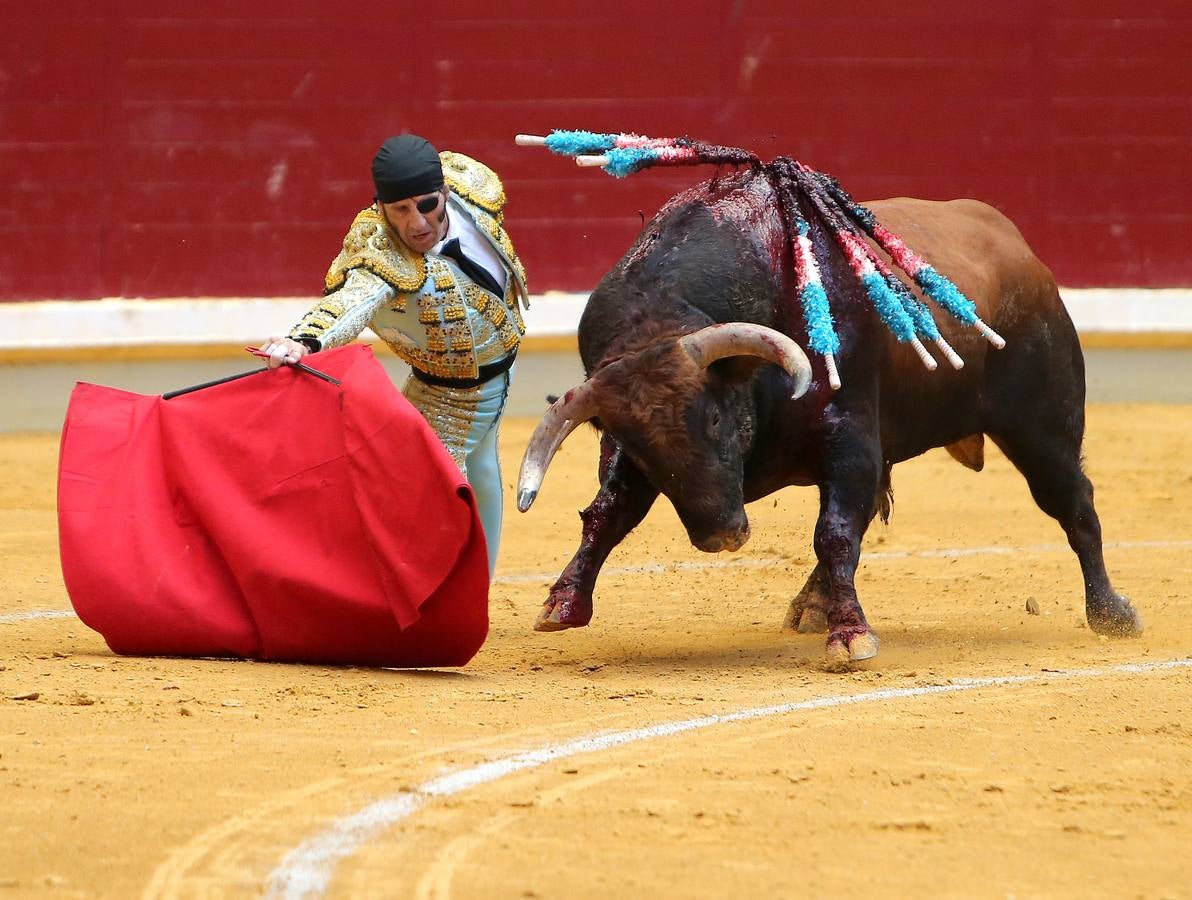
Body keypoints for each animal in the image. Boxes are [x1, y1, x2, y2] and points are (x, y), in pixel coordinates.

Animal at [517, 154, 1139, 667]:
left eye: (713, 419)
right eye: (641, 446)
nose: (721, 536)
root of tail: (1022, 252)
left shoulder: (850, 434)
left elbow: (835, 531)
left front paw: (851, 636)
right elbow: (607, 513)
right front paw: (562, 605)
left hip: (1043, 425)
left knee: (1073, 503)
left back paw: (1111, 614)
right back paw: (812, 605)